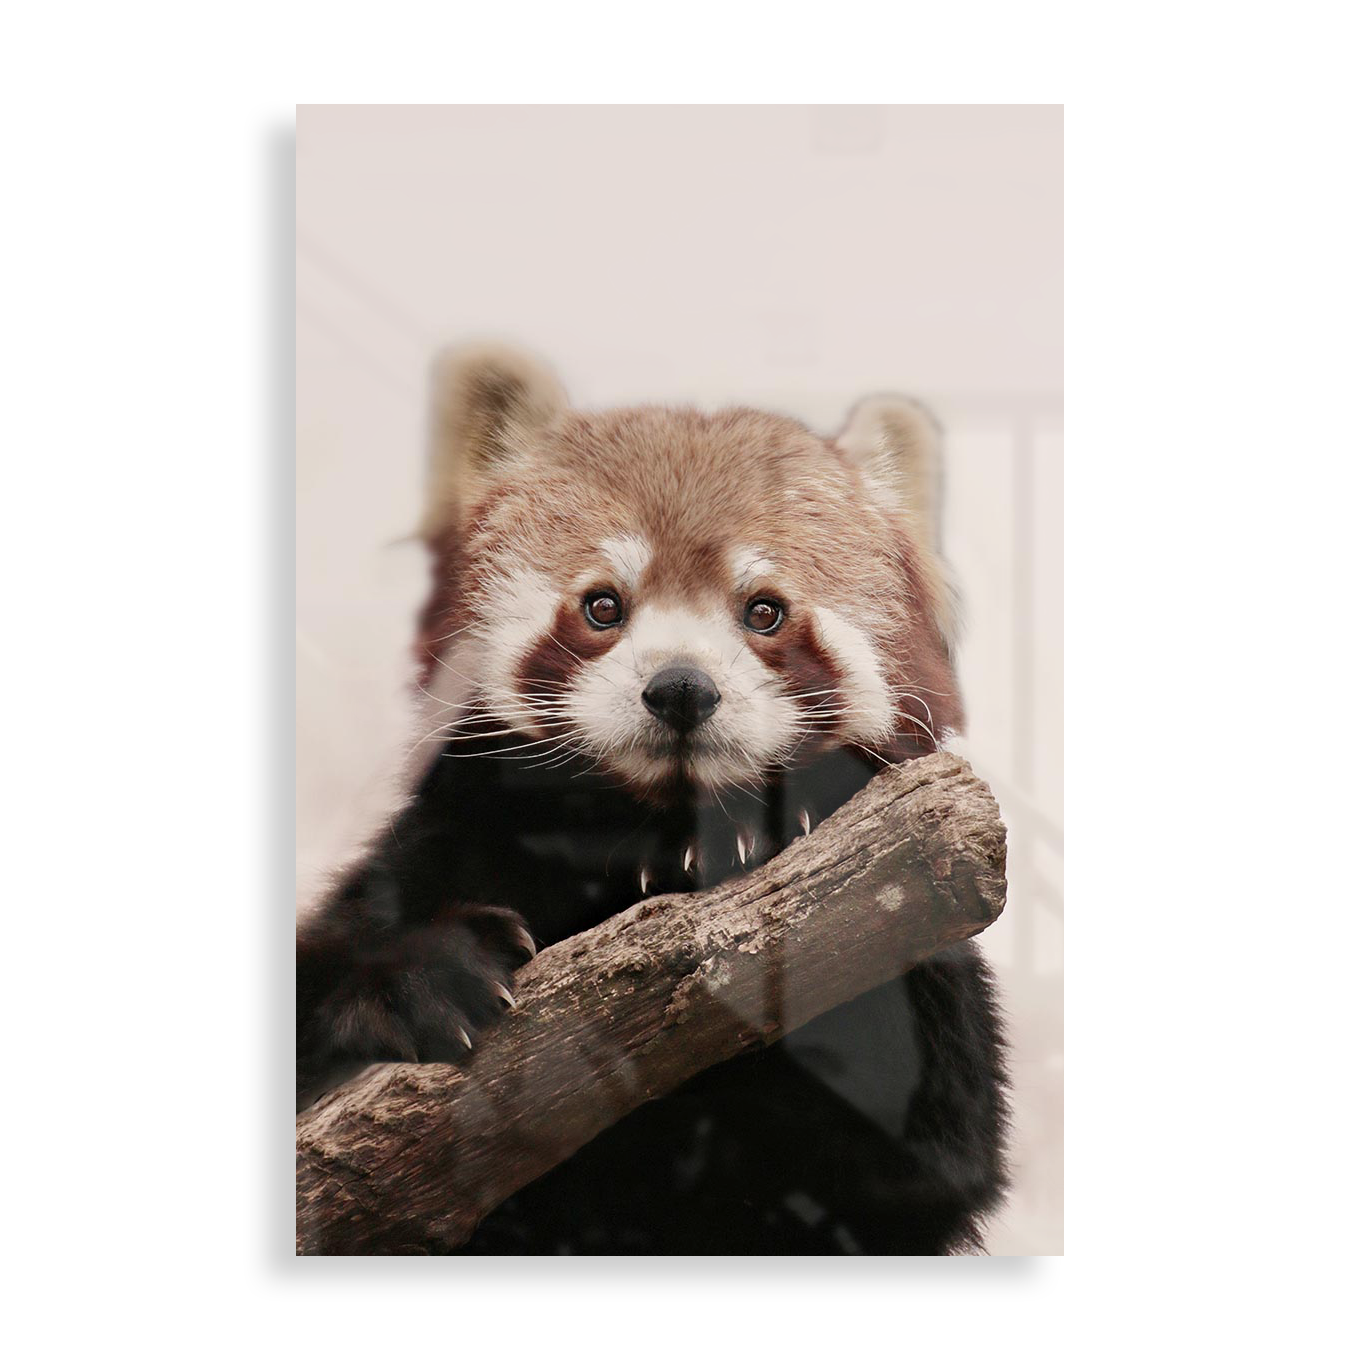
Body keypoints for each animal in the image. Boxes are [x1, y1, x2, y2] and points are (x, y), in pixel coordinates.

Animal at [296, 345, 1009, 1255]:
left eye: (764, 611)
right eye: (603, 604)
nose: (679, 688)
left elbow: (921, 1147)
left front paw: (766, 821)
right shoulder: (443, 839)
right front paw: (419, 976)